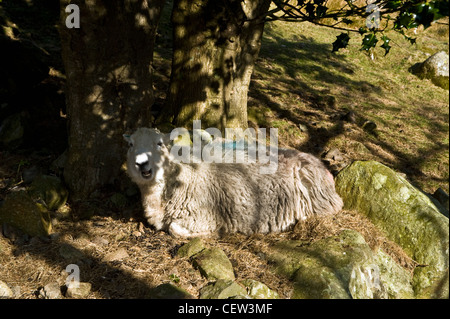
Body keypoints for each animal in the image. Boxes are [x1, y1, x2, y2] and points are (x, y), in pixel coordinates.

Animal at [123, 127, 342, 238]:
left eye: (159, 143)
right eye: (131, 144)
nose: (141, 163)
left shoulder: (205, 216)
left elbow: (175, 230)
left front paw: (212, 234)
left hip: (315, 191)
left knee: (331, 209)